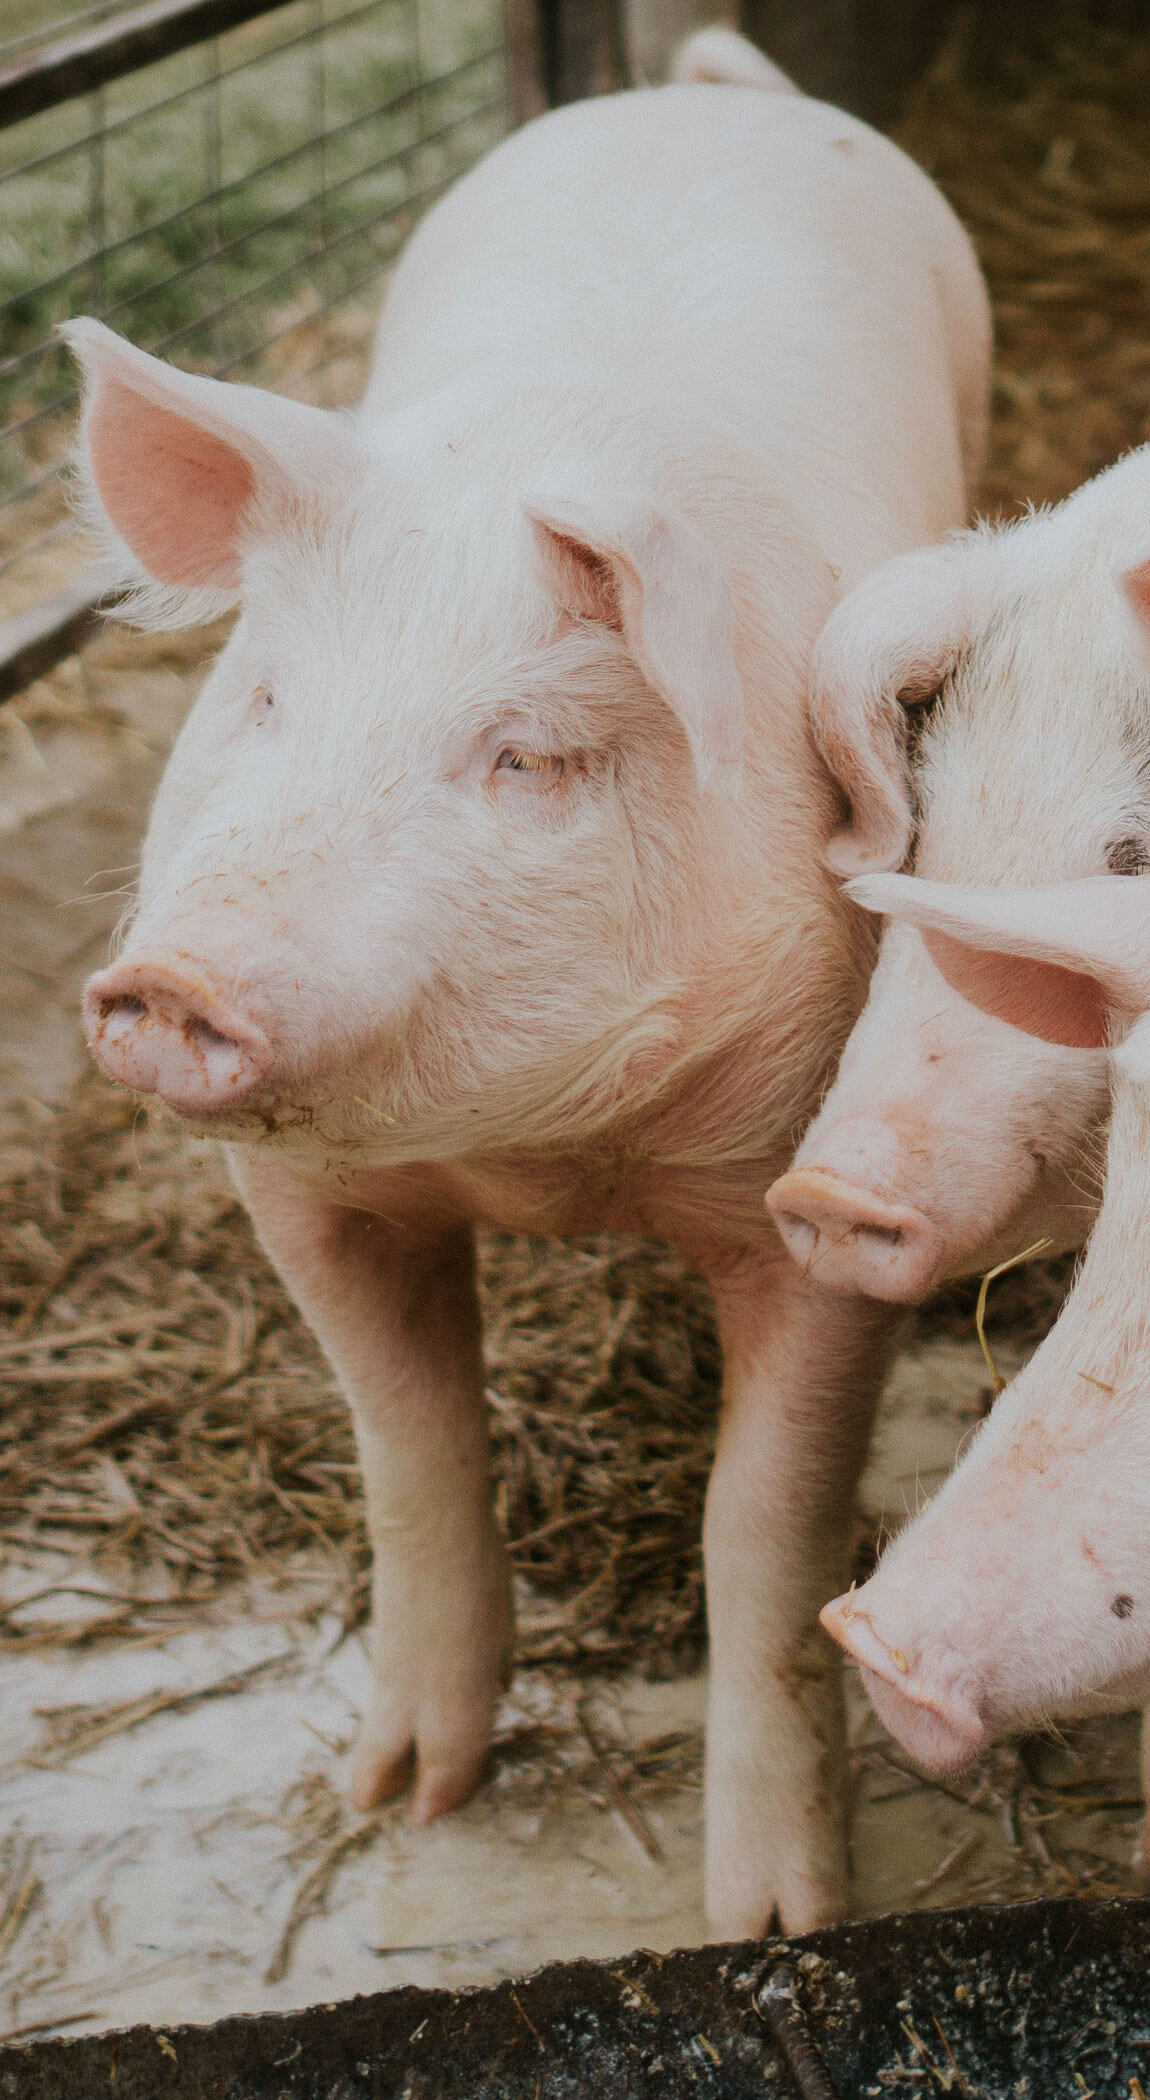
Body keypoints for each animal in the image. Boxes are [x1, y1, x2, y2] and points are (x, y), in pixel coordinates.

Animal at [70, 32, 989, 1936]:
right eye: (263, 697)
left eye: (531, 758)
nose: (176, 979)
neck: (546, 1162)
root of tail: (698, 84)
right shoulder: (298, 1197)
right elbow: (409, 1449)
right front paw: (401, 1800)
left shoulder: (817, 1183)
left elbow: (767, 1528)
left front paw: (774, 1922)